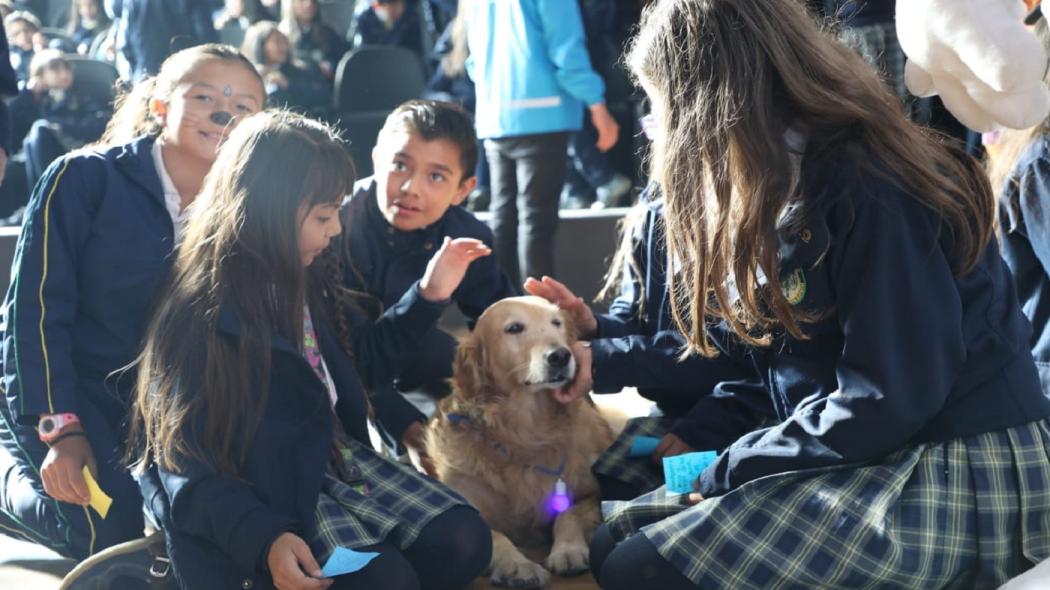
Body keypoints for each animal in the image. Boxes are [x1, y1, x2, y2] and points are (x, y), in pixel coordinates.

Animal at [426, 296, 613, 583]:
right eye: (514, 328)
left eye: (556, 323)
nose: (561, 355)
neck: (525, 435)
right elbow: (493, 536)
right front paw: (518, 565)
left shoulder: (593, 493)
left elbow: (569, 513)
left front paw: (568, 550)